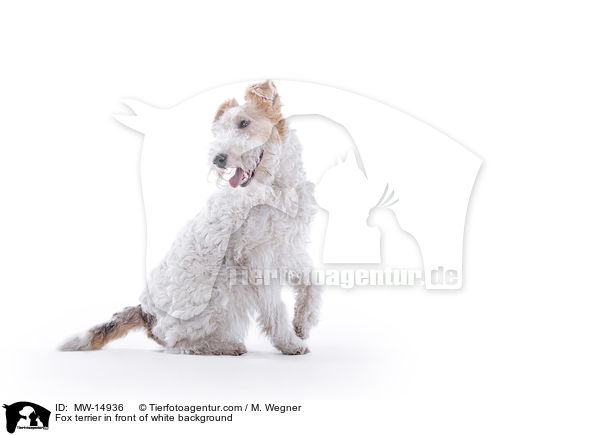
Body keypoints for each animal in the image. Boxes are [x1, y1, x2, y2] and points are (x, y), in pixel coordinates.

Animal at [61, 81, 322, 354]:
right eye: (219, 130)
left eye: (244, 122)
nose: (218, 159)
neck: (277, 189)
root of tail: (145, 313)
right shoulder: (256, 261)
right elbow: (274, 311)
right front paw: (290, 343)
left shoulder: (286, 249)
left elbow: (312, 281)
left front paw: (303, 323)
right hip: (220, 292)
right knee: (180, 344)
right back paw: (226, 345)